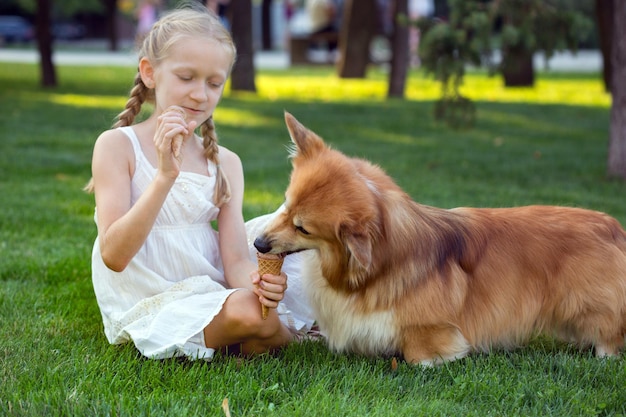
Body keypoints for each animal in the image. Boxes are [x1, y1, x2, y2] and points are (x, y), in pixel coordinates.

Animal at [252, 111, 624, 364]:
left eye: (303, 228)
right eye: (285, 203)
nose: (258, 244)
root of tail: (613, 226)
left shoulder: (429, 327)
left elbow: (418, 353)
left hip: (591, 308)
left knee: (609, 331)